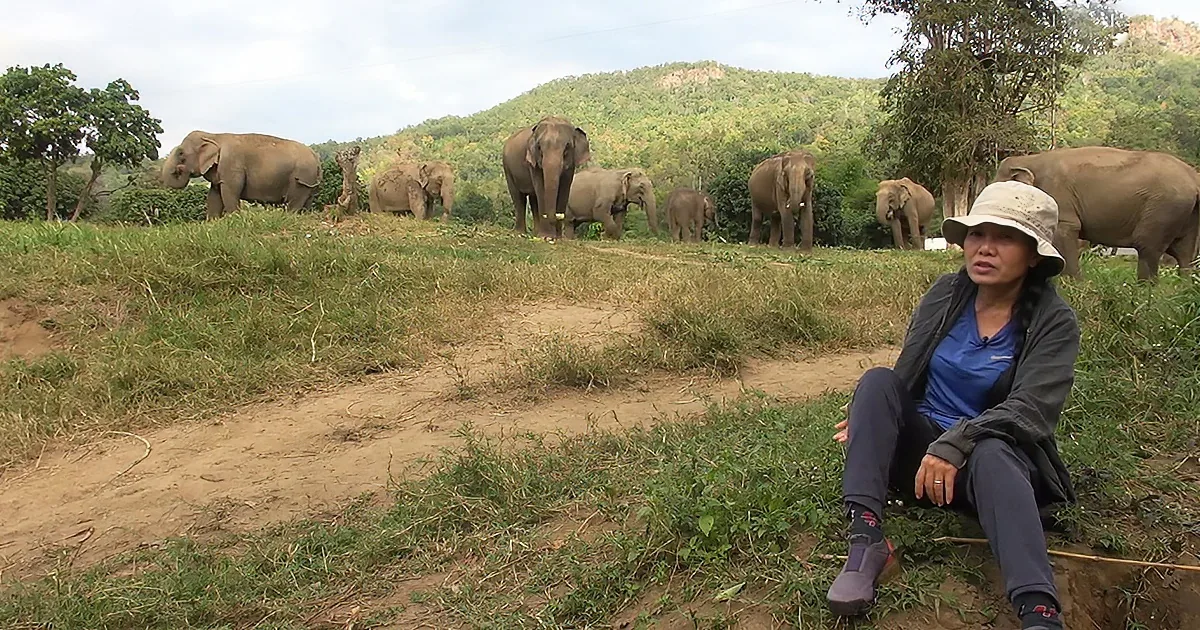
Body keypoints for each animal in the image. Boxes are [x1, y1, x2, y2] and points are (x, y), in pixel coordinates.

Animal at [161, 130, 321, 220]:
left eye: (181, 154)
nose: (179, 169)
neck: (213, 136)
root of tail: (316, 157)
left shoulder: (231, 165)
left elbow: (230, 192)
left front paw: (234, 218)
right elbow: (214, 195)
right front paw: (212, 222)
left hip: (301, 177)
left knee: (293, 203)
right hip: (309, 182)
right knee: (306, 202)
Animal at [993, 146, 1200, 281]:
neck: (1028, 159)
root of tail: (1194, 176)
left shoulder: (1058, 197)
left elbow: (1066, 230)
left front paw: (1074, 284)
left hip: (1164, 209)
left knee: (1147, 246)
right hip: (1186, 213)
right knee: (1184, 255)